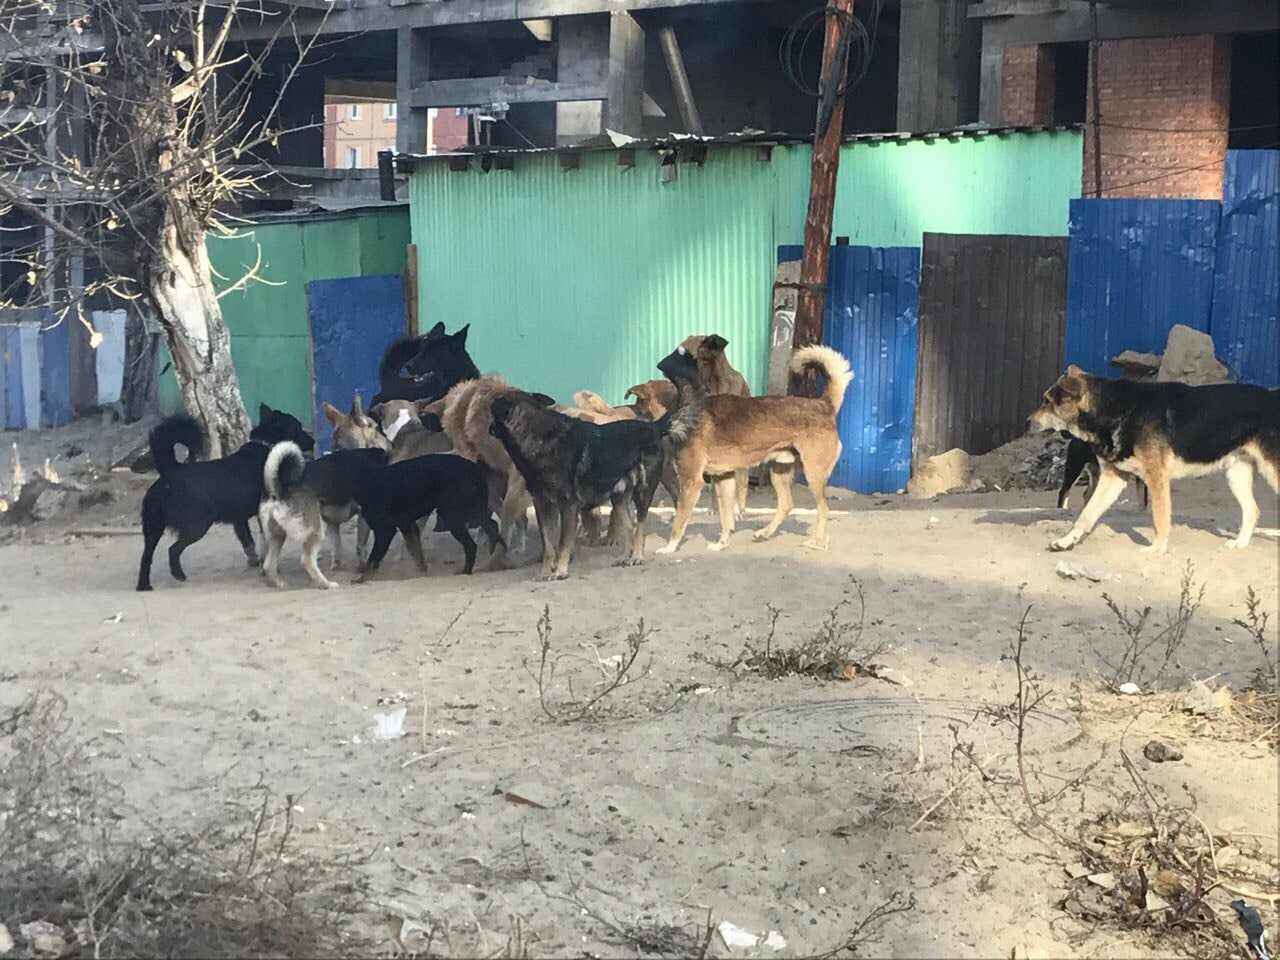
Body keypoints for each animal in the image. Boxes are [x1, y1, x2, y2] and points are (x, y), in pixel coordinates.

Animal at [137, 401, 314, 591]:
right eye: (298, 427)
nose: (313, 441)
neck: (264, 444)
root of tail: (170, 470)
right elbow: (264, 543)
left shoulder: (239, 519)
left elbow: (249, 542)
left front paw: (256, 562)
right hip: (197, 526)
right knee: (173, 550)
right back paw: (178, 575)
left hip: (153, 528)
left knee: (146, 557)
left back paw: (144, 585)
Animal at [258, 442, 499, 586]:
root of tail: (279, 489)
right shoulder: (393, 528)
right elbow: (382, 556)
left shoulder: (392, 529)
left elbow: (386, 556)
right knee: (301, 560)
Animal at [660, 343, 849, 555]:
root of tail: (824, 404)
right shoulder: (724, 479)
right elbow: (725, 520)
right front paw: (722, 543)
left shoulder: (691, 481)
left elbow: (679, 521)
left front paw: (669, 547)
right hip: (779, 472)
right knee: (786, 504)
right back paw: (765, 533)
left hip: (813, 475)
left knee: (823, 509)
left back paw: (816, 541)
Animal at [1029, 363, 1280, 555]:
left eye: (1047, 401)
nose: (1026, 422)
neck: (1116, 410)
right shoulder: (1113, 478)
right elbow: (1086, 514)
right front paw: (1066, 541)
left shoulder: (1156, 478)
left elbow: (1159, 518)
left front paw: (1157, 548)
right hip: (1236, 473)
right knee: (1253, 510)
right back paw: (1240, 543)